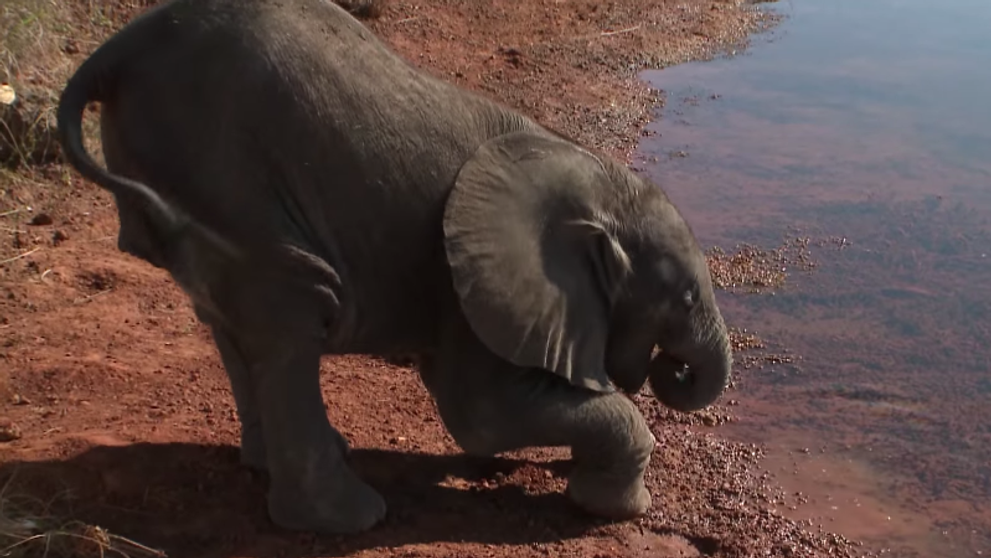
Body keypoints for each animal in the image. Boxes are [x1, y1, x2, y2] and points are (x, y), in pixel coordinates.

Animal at [55, 0, 733, 536]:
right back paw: (347, 519)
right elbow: (478, 414)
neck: (588, 174)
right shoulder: (470, 286)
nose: (673, 369)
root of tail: (116, 52)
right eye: (686, 300)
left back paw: (274, 465)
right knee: (287, 312)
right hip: (225, 168)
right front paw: (611, 507)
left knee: (229, 322)